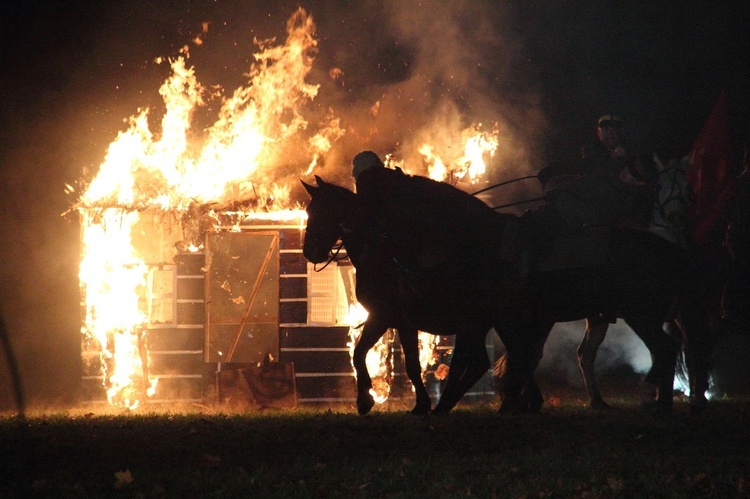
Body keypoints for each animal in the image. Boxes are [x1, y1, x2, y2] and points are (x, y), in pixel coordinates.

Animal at [302, 176, 712, 414]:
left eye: (318, 211)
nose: (309, 252)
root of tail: (669, 249)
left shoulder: (395, 317)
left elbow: (391, 361)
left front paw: (374, 399)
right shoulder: (412, 320)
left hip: (640, 315)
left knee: (665, 349)